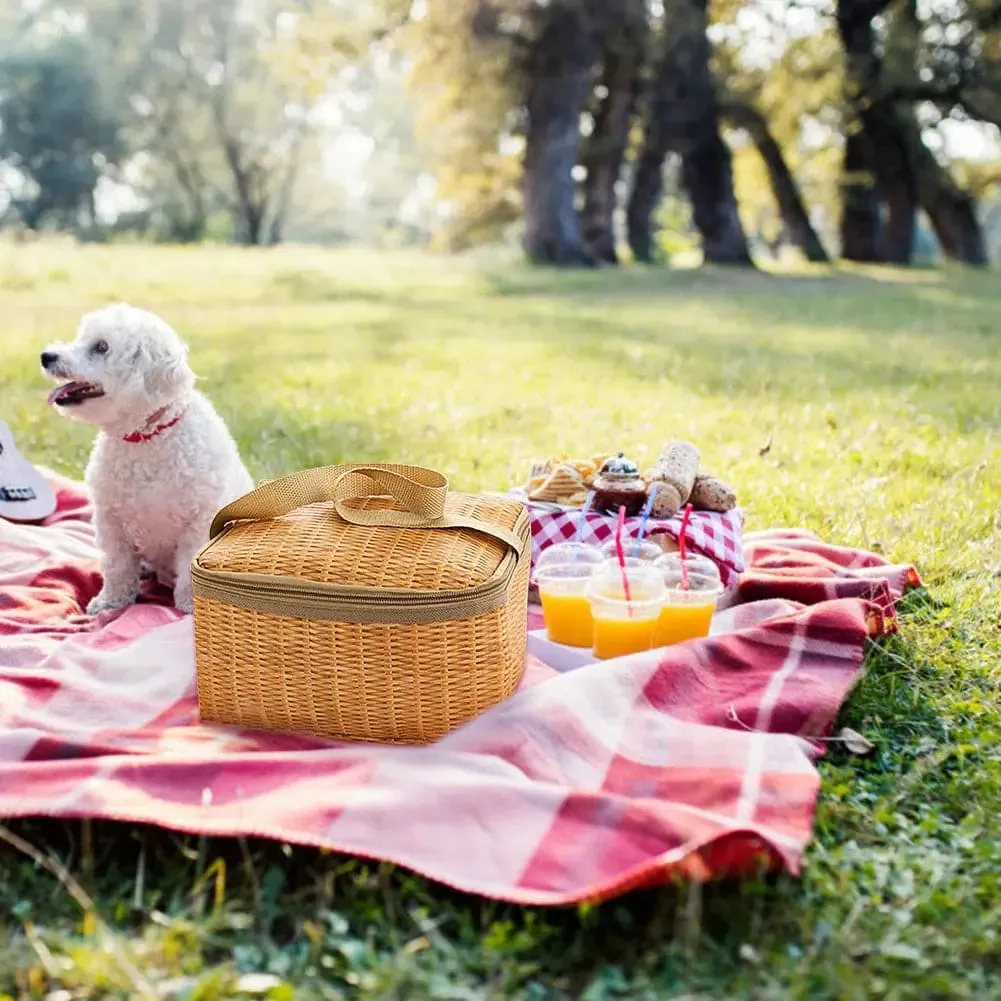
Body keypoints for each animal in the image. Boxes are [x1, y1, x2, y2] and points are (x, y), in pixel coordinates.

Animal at [42, 304, 254, 612]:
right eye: (80, 337)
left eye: (102, 347)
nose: (47, 356)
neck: (146, 438)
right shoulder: (112, 522)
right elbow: (117, 567)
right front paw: (110, 603)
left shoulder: (199, 522)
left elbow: (189, 571)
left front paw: (190, 605)